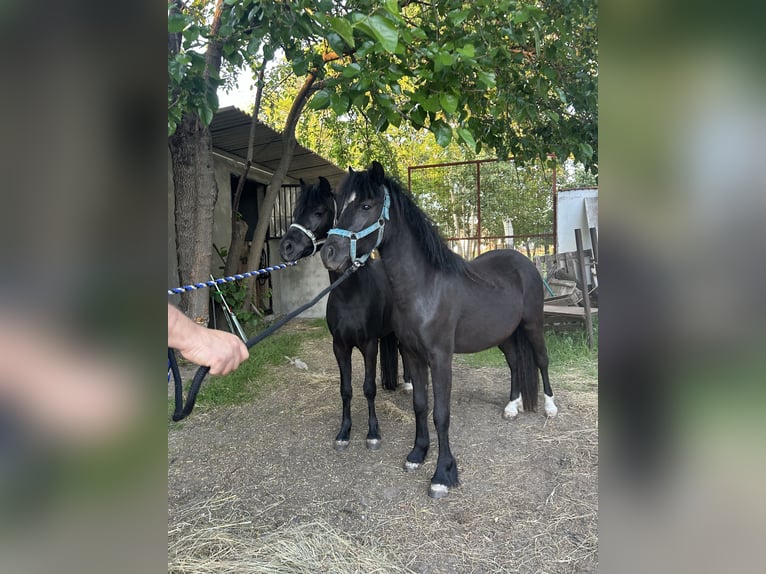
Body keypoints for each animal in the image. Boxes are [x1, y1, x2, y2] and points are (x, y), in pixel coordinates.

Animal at [279, 176, 409, 451]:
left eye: (318, 212)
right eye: (296, 212)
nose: (286, 247)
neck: (351, 295)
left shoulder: (369, 345)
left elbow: (368, 388)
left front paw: (373, 433)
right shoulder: (339, 346)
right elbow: (346, 389)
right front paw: (344, 433)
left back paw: (408, 383)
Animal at [321, 161, 557, 498]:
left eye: (366, 205)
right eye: (339, 206)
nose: (329, 253)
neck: (424, 288)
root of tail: (523, 261)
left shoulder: (440, 358)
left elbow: (440, 414)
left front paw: (443, 474)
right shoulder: (412, 355)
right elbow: (420, 406)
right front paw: (418, 454)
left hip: (533, 325)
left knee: (541, 360)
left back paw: (550, 407)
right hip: (504, 335)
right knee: (514, 363)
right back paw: (512, 407)